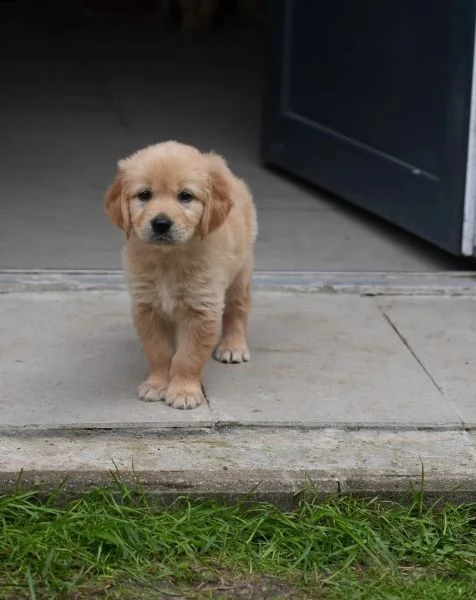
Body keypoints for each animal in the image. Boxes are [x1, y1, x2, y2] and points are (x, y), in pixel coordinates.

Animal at [104, 143, 256, 410]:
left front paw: (183, 391)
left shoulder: (202, 307)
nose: (161, 223)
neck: (169, 258)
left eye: (185, 196)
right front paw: (157, 384)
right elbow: (159, 351)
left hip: (241, 270)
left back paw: (233, 346)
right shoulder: (147, 307)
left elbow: (188, 356)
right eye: (144, 195)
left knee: (237, 310)